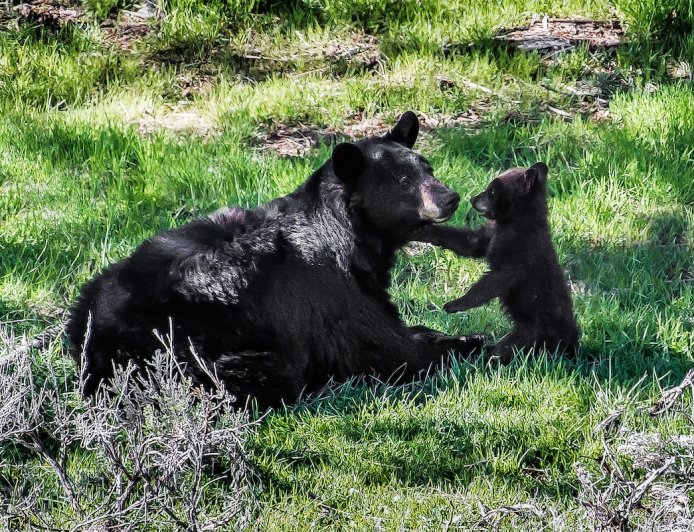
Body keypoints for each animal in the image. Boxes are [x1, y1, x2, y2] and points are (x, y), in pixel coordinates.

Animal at [66, 112, 484, 408]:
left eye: (427, 168)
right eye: (403, 182)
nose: (450, 197)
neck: (347, 233)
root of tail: (101, 345)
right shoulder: (331, 293)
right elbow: (388, 348)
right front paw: (471, 341)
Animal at [412, 162, 579, 364]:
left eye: (492, 190)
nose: (473, 199)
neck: (513, 222)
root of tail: (571, 341)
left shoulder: (519, 257)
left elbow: (492, 282)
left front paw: (454, 304)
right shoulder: (491, 235)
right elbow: (469, 243)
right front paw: (424, 230)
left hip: (532, 329)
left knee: (509, 348)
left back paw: (489, 358)